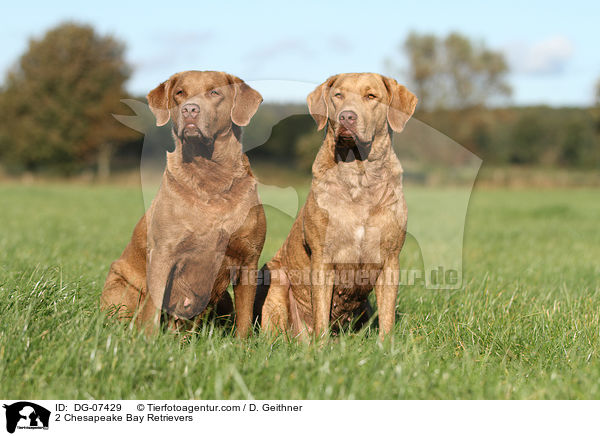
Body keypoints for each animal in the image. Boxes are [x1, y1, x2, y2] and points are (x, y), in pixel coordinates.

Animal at [102, 70, 266, 338]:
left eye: (214, 92)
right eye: (180, 93)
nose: (190, 109)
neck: (210, 176)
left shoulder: (248, 259)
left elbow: (245, 315)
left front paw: (244, 344)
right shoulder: (162, 254)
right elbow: (153, 307)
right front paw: (148, 341)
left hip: (223, 300)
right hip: (121, 285)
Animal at [254, 73, 418, 340]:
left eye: (371, 96)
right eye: (338, 95)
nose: (347, 117)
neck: (359, 174)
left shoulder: (390, 260)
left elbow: (387, 316)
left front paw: (386, 346)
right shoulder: (322, 258)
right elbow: (321, 311)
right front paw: (321, 347)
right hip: (275, 277)